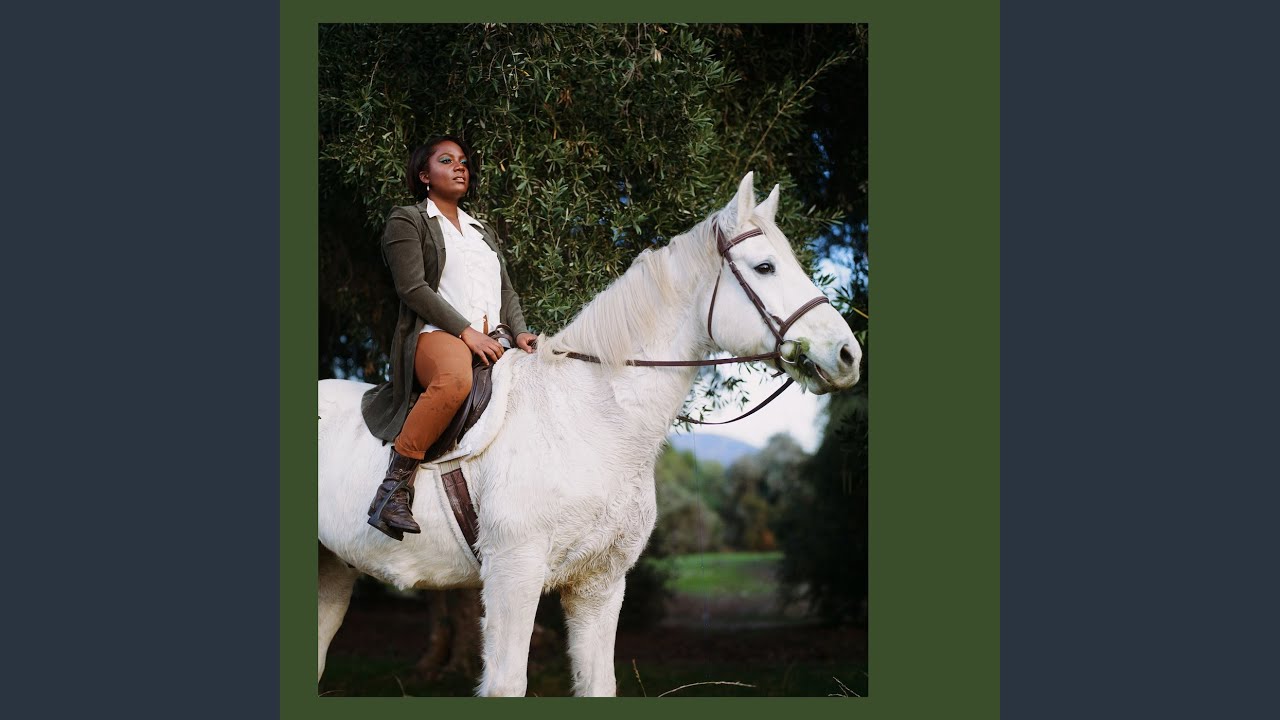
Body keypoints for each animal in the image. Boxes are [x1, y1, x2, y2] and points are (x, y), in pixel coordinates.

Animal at [317, 173, 862, 696]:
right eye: (765, 267)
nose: (847, 355)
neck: (591, 419)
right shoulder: (513, 573)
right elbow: (507, 683)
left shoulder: (600, 583)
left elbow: (600, 683)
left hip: (333, 572)